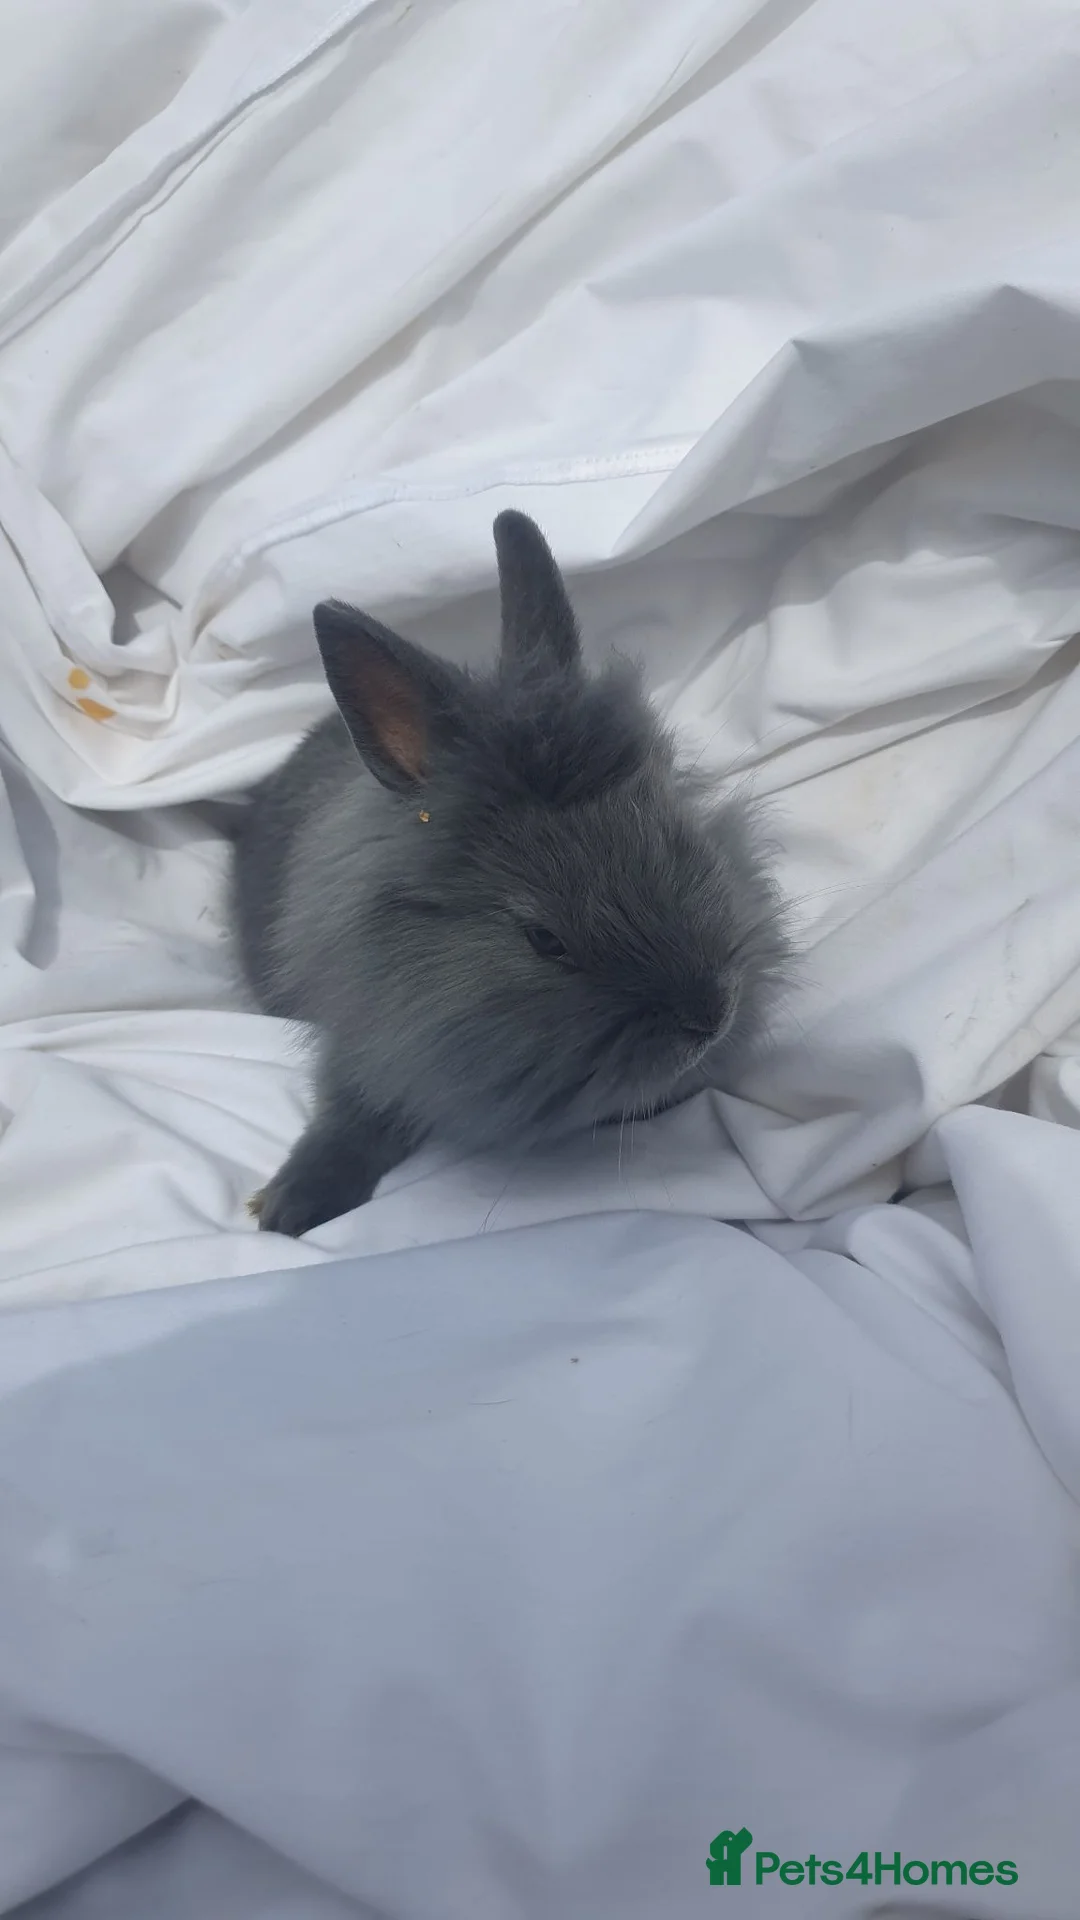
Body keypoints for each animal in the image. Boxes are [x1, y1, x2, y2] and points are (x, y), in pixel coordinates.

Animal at [231, 510, 789, 1236]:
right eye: (544, 939)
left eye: (680, 835)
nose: (712, 1018)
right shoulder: (364, 1038)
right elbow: (352, 1112)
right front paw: (291, 1207)